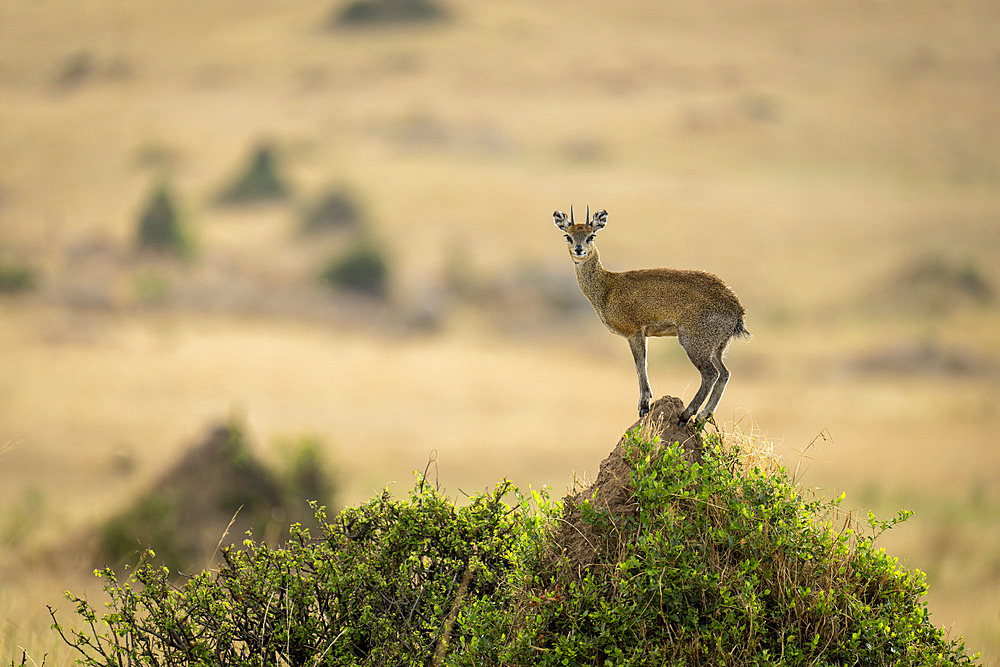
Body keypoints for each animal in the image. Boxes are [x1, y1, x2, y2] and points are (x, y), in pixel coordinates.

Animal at [556, 206, 752, 426]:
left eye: (591, 235)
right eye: (568, 235)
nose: (579, 249)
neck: (607, 288)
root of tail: (736, 307)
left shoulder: (634, 331)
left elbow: (640, 363)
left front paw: (644, 405)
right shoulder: (643, 334)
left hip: (694, 342)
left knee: (710, 374)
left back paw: (686, 415)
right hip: (717, 347)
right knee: (725, 374)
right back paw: (702, 416)